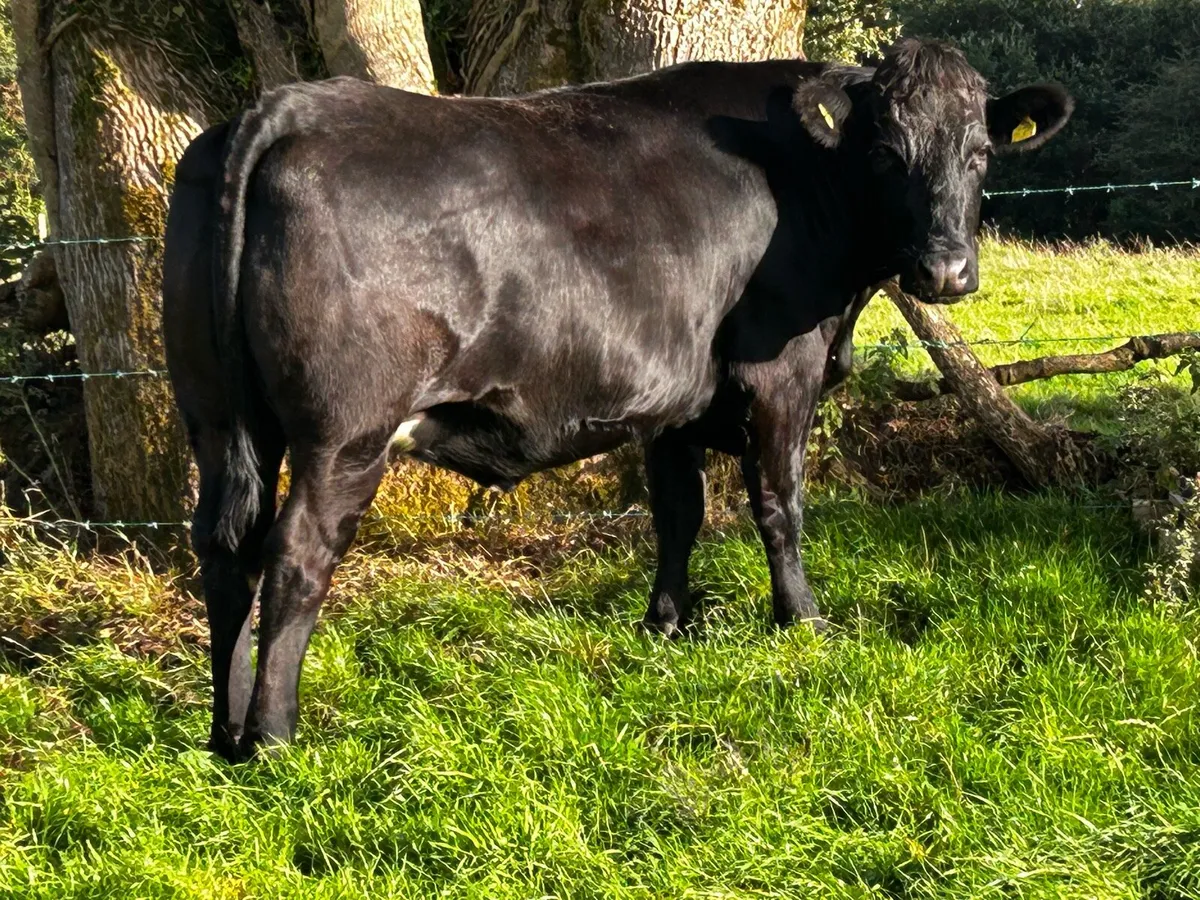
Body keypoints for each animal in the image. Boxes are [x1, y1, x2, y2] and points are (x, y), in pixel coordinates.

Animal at [163, 37, 1072, 760]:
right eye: (884, 152)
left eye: (980, 154)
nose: (944, 271)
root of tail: (288, 107)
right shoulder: (783, 369)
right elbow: (779, 503)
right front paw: (802, 621)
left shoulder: (672, 396)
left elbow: (680, 510)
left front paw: (664, 625)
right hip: (345, 431)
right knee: (295, 556)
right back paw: (276, 737)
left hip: (216, 417)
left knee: (225, 548)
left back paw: (224, 732)